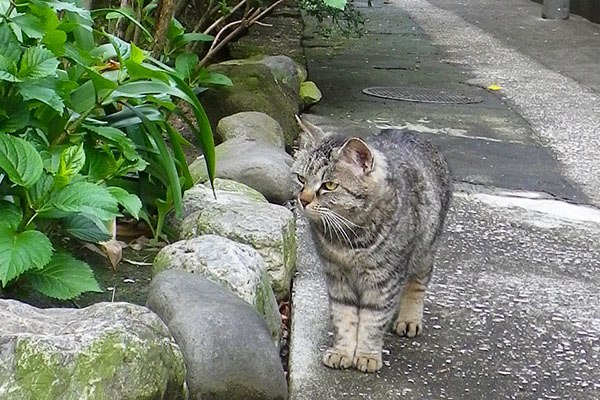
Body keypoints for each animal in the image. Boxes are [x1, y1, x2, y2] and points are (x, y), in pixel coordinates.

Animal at [290, 118, 450, 372]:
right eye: (301, 179)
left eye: (329, 185)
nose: (302, 200)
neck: (349, 238)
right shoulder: (337, 276)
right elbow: (344, 316)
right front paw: (342, 351)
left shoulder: (384, 280)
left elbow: (373, 320)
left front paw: (367, 355)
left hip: (425, 250)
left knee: (417, 283)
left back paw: (409, 318)